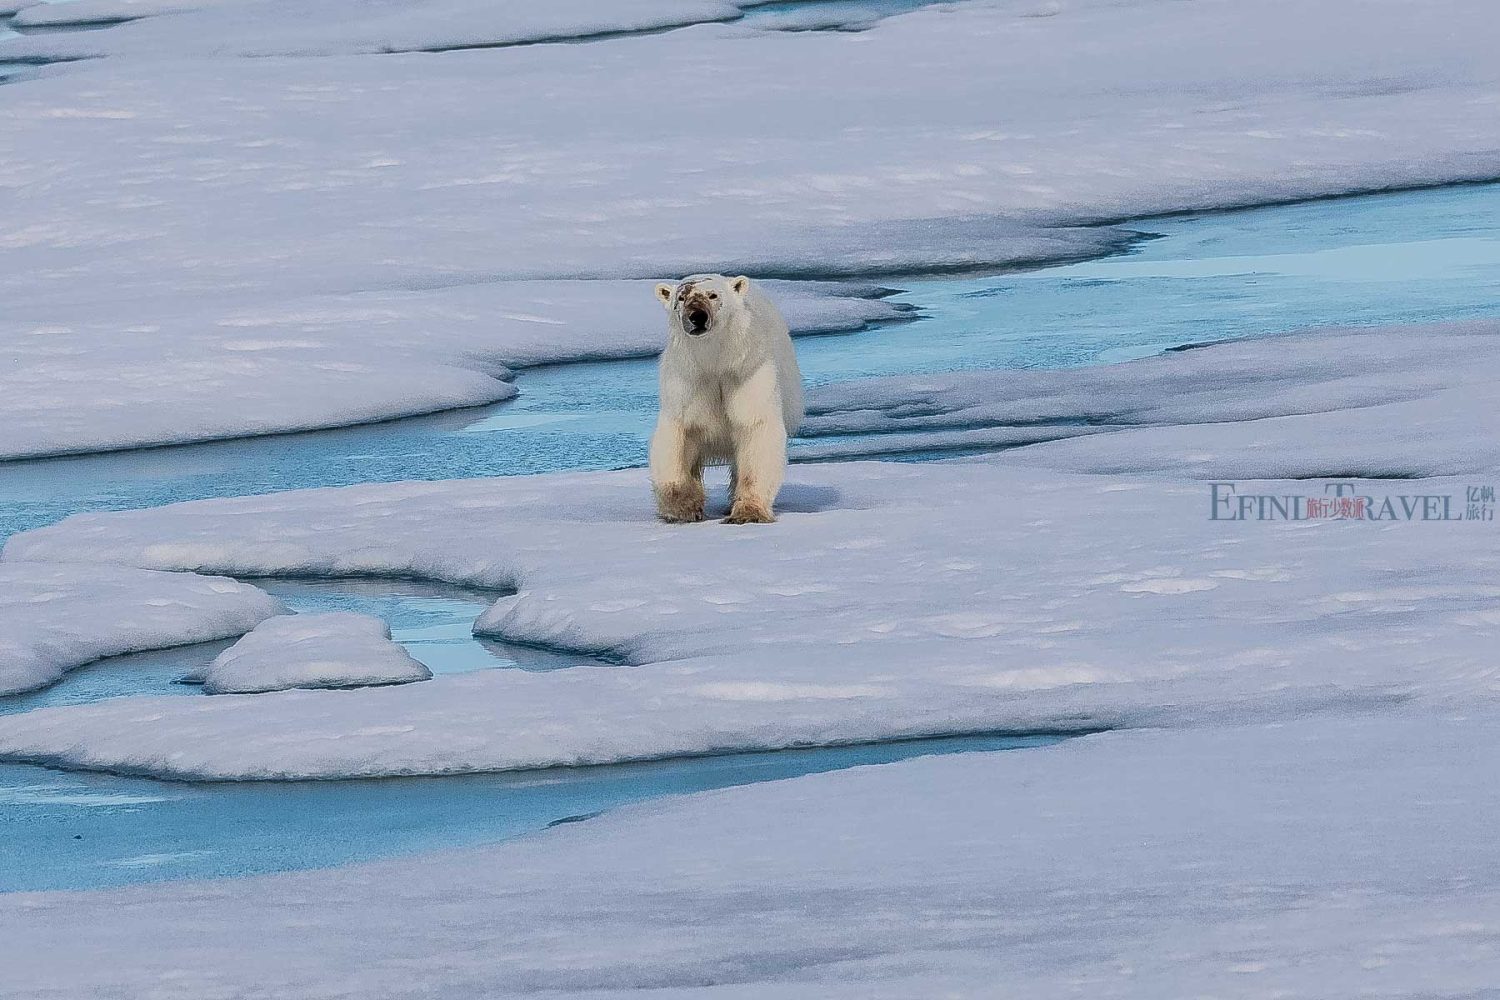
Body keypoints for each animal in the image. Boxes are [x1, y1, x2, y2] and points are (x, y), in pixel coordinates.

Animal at [651, 274, 804, 524]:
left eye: (712, 295)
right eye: (681, 297)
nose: (697, 316)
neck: (716, 363)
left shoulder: (749, 374)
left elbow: (756, 430)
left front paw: (748, 513)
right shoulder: (688, 382)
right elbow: (677, 437)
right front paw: (683, 508)